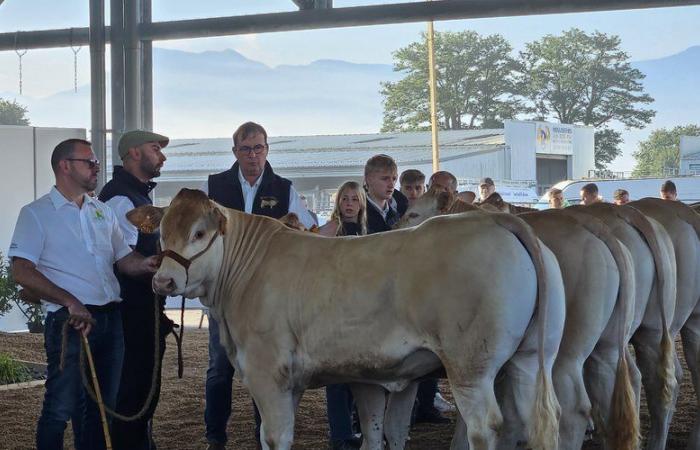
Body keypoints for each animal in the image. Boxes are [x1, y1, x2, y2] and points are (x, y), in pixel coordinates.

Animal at [130, 188, 564, 450]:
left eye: (200, 233)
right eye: (163, 232)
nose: (163, 281)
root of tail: (494, 220)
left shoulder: (267, 372)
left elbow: (275, 437)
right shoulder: (291, 380)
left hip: (470, 365)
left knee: (487, 426)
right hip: (530, 358)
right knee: (532, 420)